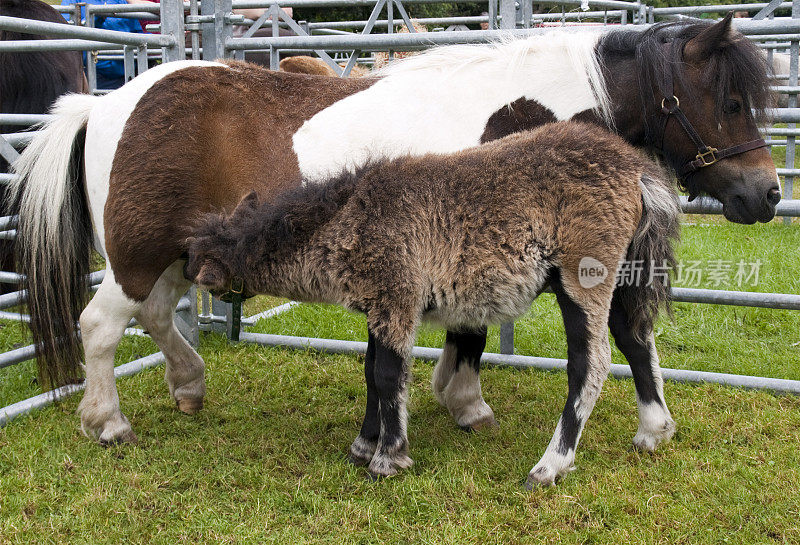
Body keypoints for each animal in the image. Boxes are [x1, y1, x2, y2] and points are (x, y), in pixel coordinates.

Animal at [184, 121, 680, 482]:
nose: (189, 278)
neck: (347, 218)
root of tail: (637, 172)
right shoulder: (380, 305)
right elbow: (371, 371)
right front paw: (363, 445)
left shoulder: (396, 296)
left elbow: (388, 374)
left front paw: (388, 458)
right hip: (625, 271)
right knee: (635, 338)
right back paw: (653, 430)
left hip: (585, 271)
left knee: (591, 361)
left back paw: (550, 465)